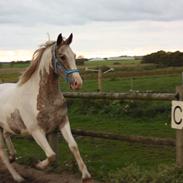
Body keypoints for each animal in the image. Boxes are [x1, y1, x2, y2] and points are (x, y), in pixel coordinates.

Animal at [0, 33, 91, 182]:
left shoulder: (63, 122)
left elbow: (73, 146)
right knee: (2, 153)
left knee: (7, 136)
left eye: (74, 55)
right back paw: (18, 177)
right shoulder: (36, 131)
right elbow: (51, 155)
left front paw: (86, 175)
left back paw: (13, 156)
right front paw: (37, 165)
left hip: (8, 125)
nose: (78, 83)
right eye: (62, 56)